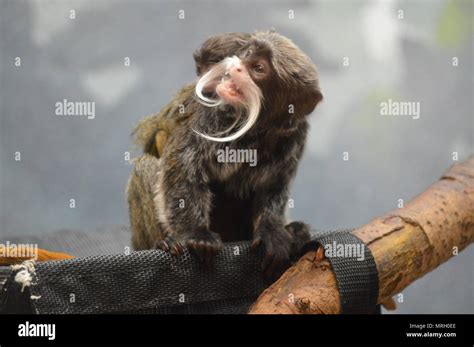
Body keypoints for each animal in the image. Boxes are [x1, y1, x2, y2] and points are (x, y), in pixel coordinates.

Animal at [128, 31, 320, 278]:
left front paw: (272, 231)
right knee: (147, 165)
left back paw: (295, 232)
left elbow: (273, 186)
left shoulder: (295, 134)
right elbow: (182, 165)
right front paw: (196, 233)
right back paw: (164, 242)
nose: (236, 67)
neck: (257, 127)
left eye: (259, 68)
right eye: (248, 54)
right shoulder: (210, 116)